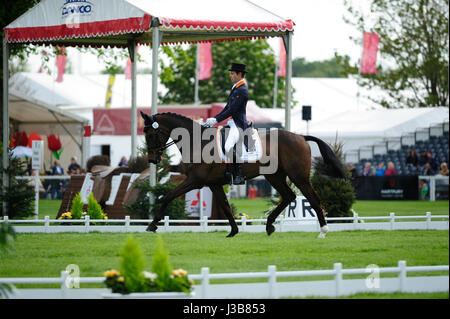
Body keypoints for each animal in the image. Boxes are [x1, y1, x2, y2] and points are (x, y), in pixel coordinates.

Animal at [139, 111, 346, 239]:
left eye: (150, 135)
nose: (152, 160)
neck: (198, 142)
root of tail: (301, 137)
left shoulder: (195, 181)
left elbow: (168, 196)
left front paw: (152, 225)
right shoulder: (213, 183)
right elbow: (225, 206)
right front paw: (233, 230)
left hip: (299, 177)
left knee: (312, 198)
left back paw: (323, 231)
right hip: (275, 176)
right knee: (289, 196)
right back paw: (269, 225)